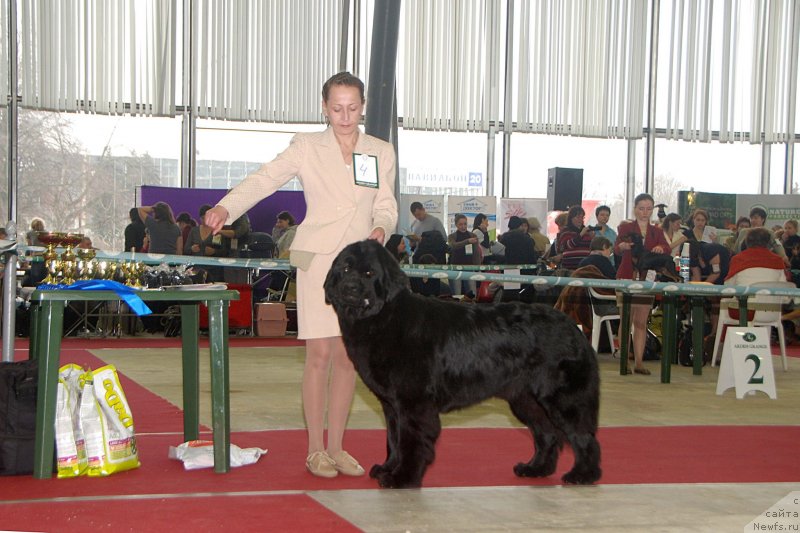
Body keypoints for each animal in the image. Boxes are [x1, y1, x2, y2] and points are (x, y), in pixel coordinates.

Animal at [324, 240, 600, 486]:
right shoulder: (392, 405)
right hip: (525, 400)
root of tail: (573, 327)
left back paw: (583, 475)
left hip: (562, 398)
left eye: (369, 273)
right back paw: (536, 469)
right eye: (345, 269)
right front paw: (387, 468)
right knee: (547, 434)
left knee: (583, 435)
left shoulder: (413, 402)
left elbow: (410, 440)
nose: (350, 288)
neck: (384, 318)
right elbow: (393, 438)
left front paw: (402, 477)